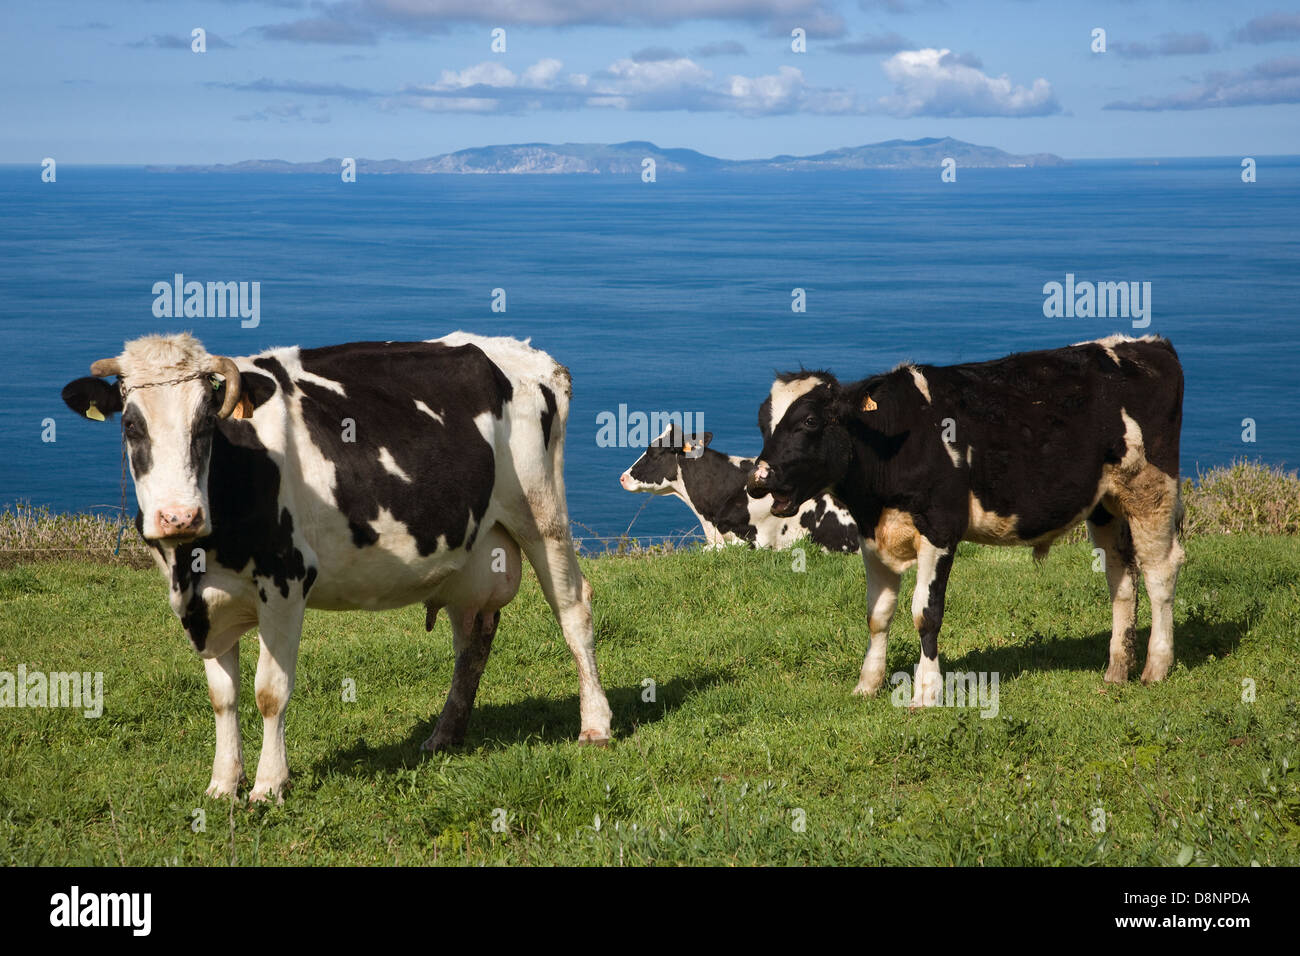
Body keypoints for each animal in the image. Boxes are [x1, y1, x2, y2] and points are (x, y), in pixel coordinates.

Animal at [59, 332, 608, 806]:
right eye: (131, 425)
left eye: (206, 424)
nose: (178, 516)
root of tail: (531, 357)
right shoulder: (198, 603)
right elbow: (222, 696)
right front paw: (222, 785)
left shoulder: (286, 580)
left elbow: (269, 692)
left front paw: (268, 786)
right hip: (472, 548)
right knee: (474, 637)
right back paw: (444, 736)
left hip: (542, 515)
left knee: (573, 609)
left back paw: (595, 726)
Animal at [748, 335, 1185, 702]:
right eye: (762, 422)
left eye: (809, 421)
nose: (758, 479)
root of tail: (1148, 344)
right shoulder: (872, 536)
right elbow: (877, 615)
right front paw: (867, 685)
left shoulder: (941, 529)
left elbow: (925, 613)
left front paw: (926, 693)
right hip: (1105, 503)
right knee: (1121, 577)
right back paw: (1116, 670)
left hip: (1152, 488)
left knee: (1159, 570)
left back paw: (1156, 667)